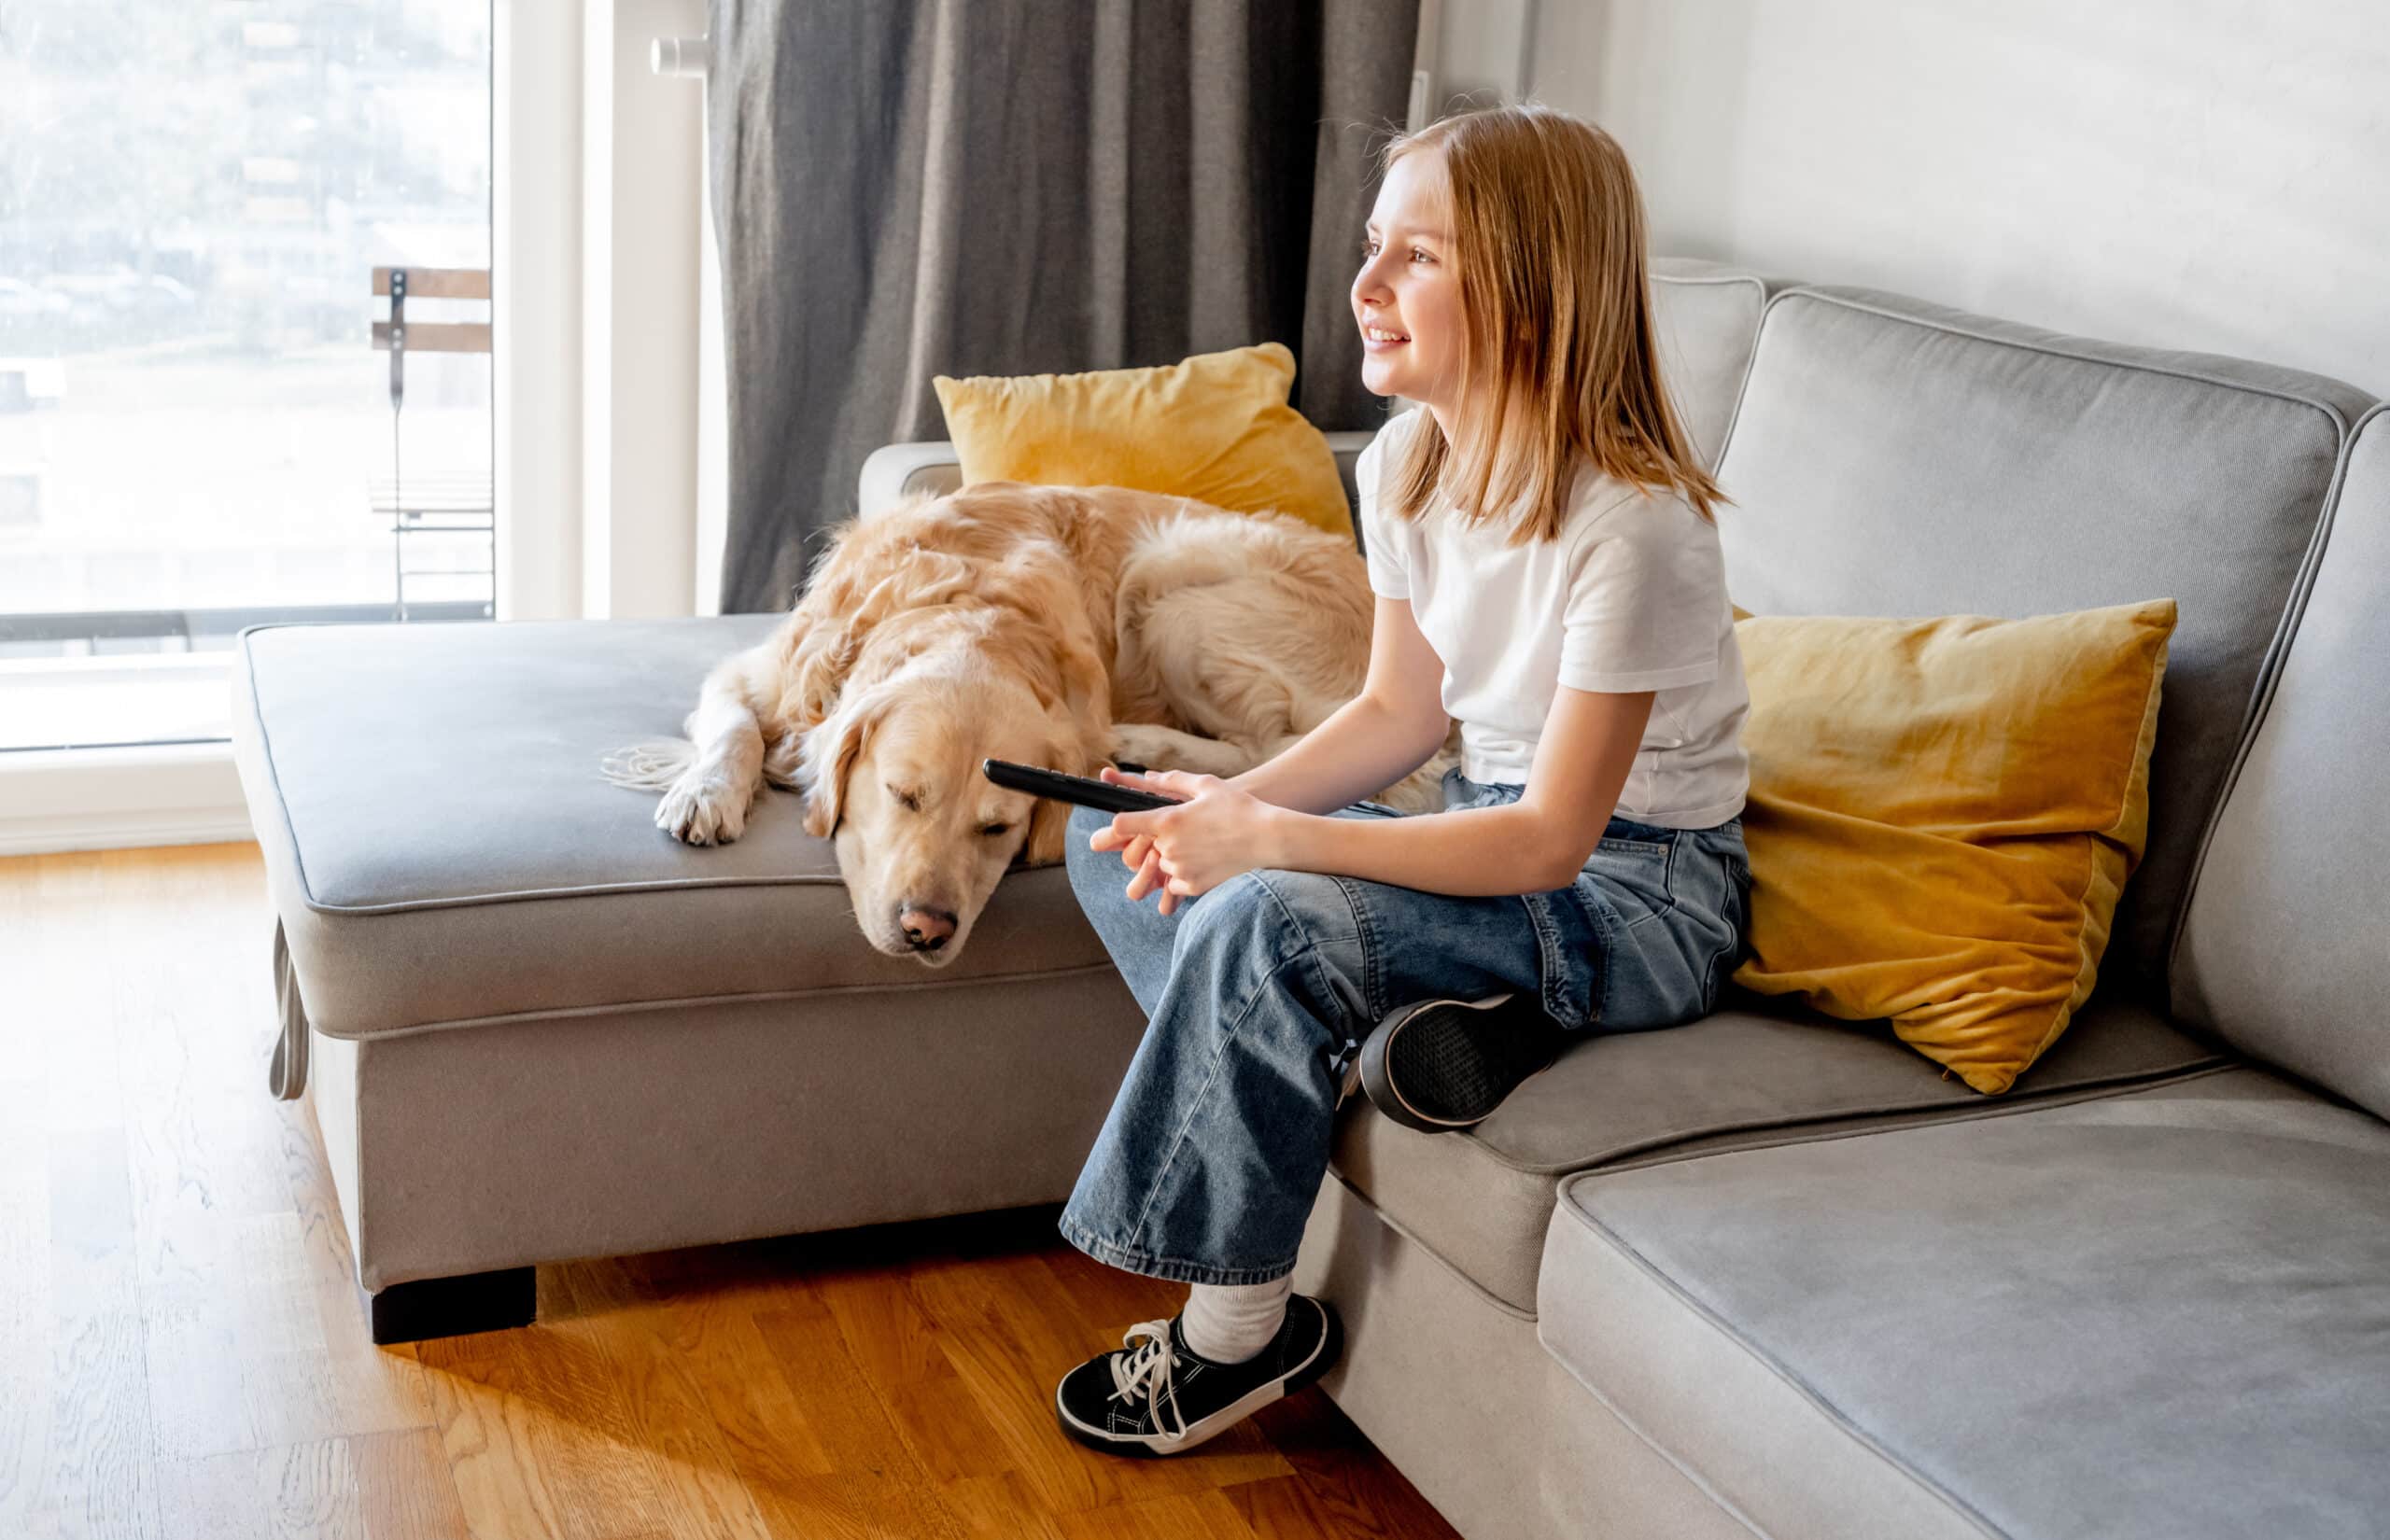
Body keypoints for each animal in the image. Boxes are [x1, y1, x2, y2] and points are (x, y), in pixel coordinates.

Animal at [602, 480, 1453, 959]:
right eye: (901, 795)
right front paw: (705, 795)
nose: (927, 930)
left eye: (997, 829)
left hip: (1175, 578)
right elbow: (735, 729)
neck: (972, 605)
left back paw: (1140, 744)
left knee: (1270, 745)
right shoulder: (763, 672)